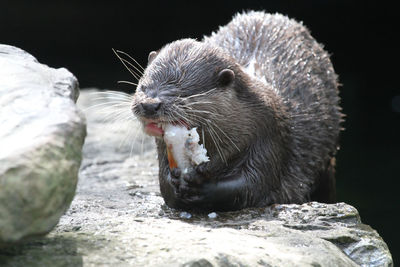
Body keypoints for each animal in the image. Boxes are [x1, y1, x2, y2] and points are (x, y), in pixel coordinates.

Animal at [130, 10, 342, 213]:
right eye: (143, 86)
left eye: (184, 93)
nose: (149, 105)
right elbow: (164, 185)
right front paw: (173, 182)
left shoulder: (269, 132)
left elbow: (253, 185)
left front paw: (205, 187)